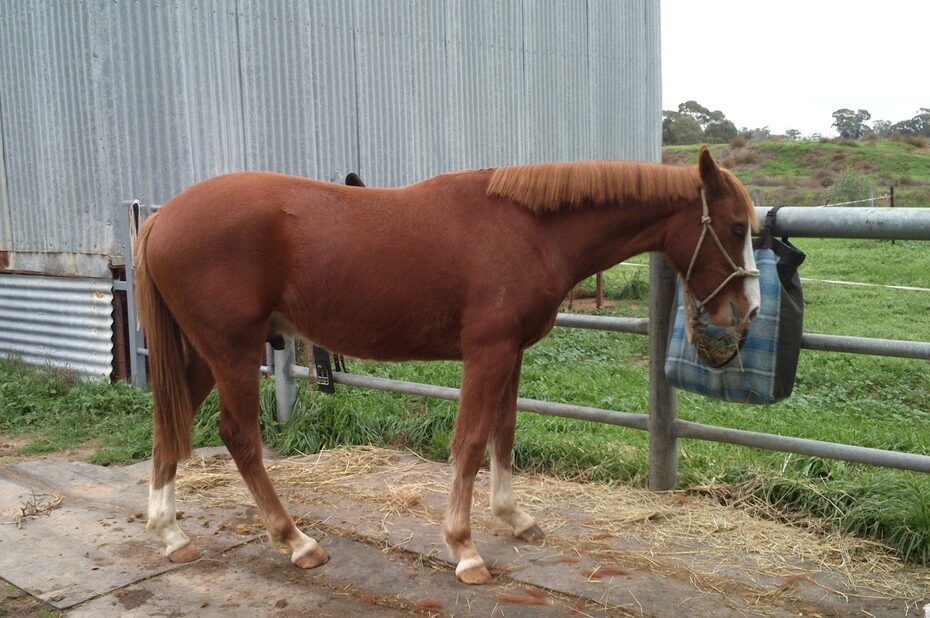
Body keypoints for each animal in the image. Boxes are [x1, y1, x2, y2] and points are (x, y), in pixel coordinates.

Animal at [134, 146, 760, 585]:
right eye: (735, 227)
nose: (747, 310)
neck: (528, 230)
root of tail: (160, 219)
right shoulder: (487, 352)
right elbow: (471, 441)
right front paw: (464, 548)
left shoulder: (511, 352)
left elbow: (504, 432)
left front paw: (514, 518)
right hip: (232, 352)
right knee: (239, 436)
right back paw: (296, 541)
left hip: (201, 355)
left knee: (168, 426)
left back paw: (170, 534)